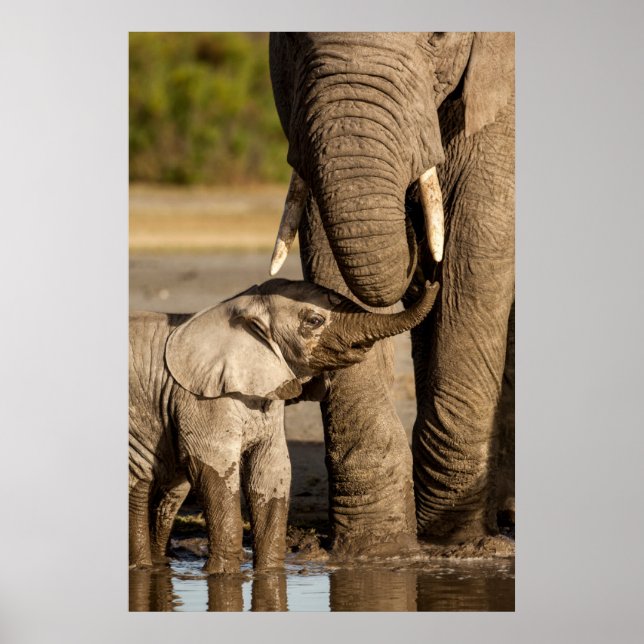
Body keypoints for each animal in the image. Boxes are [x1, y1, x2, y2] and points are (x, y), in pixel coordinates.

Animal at [129, 277, 438, 573]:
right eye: (314, 321)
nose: (429, 283)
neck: (238, 308)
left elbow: (271, 471)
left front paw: (270, 573)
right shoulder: (202, 398)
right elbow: (213, 467)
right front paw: (223, 574)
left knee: (170, 491)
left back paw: (159, 564)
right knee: (141, 482)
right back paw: (142, 567)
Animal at [268, 32, 515, 550]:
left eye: (439, 36)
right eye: (293, 40)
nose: (424, 273)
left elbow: (474, 242)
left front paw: (455, 542)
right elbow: (325, 243)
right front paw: (375, 547)